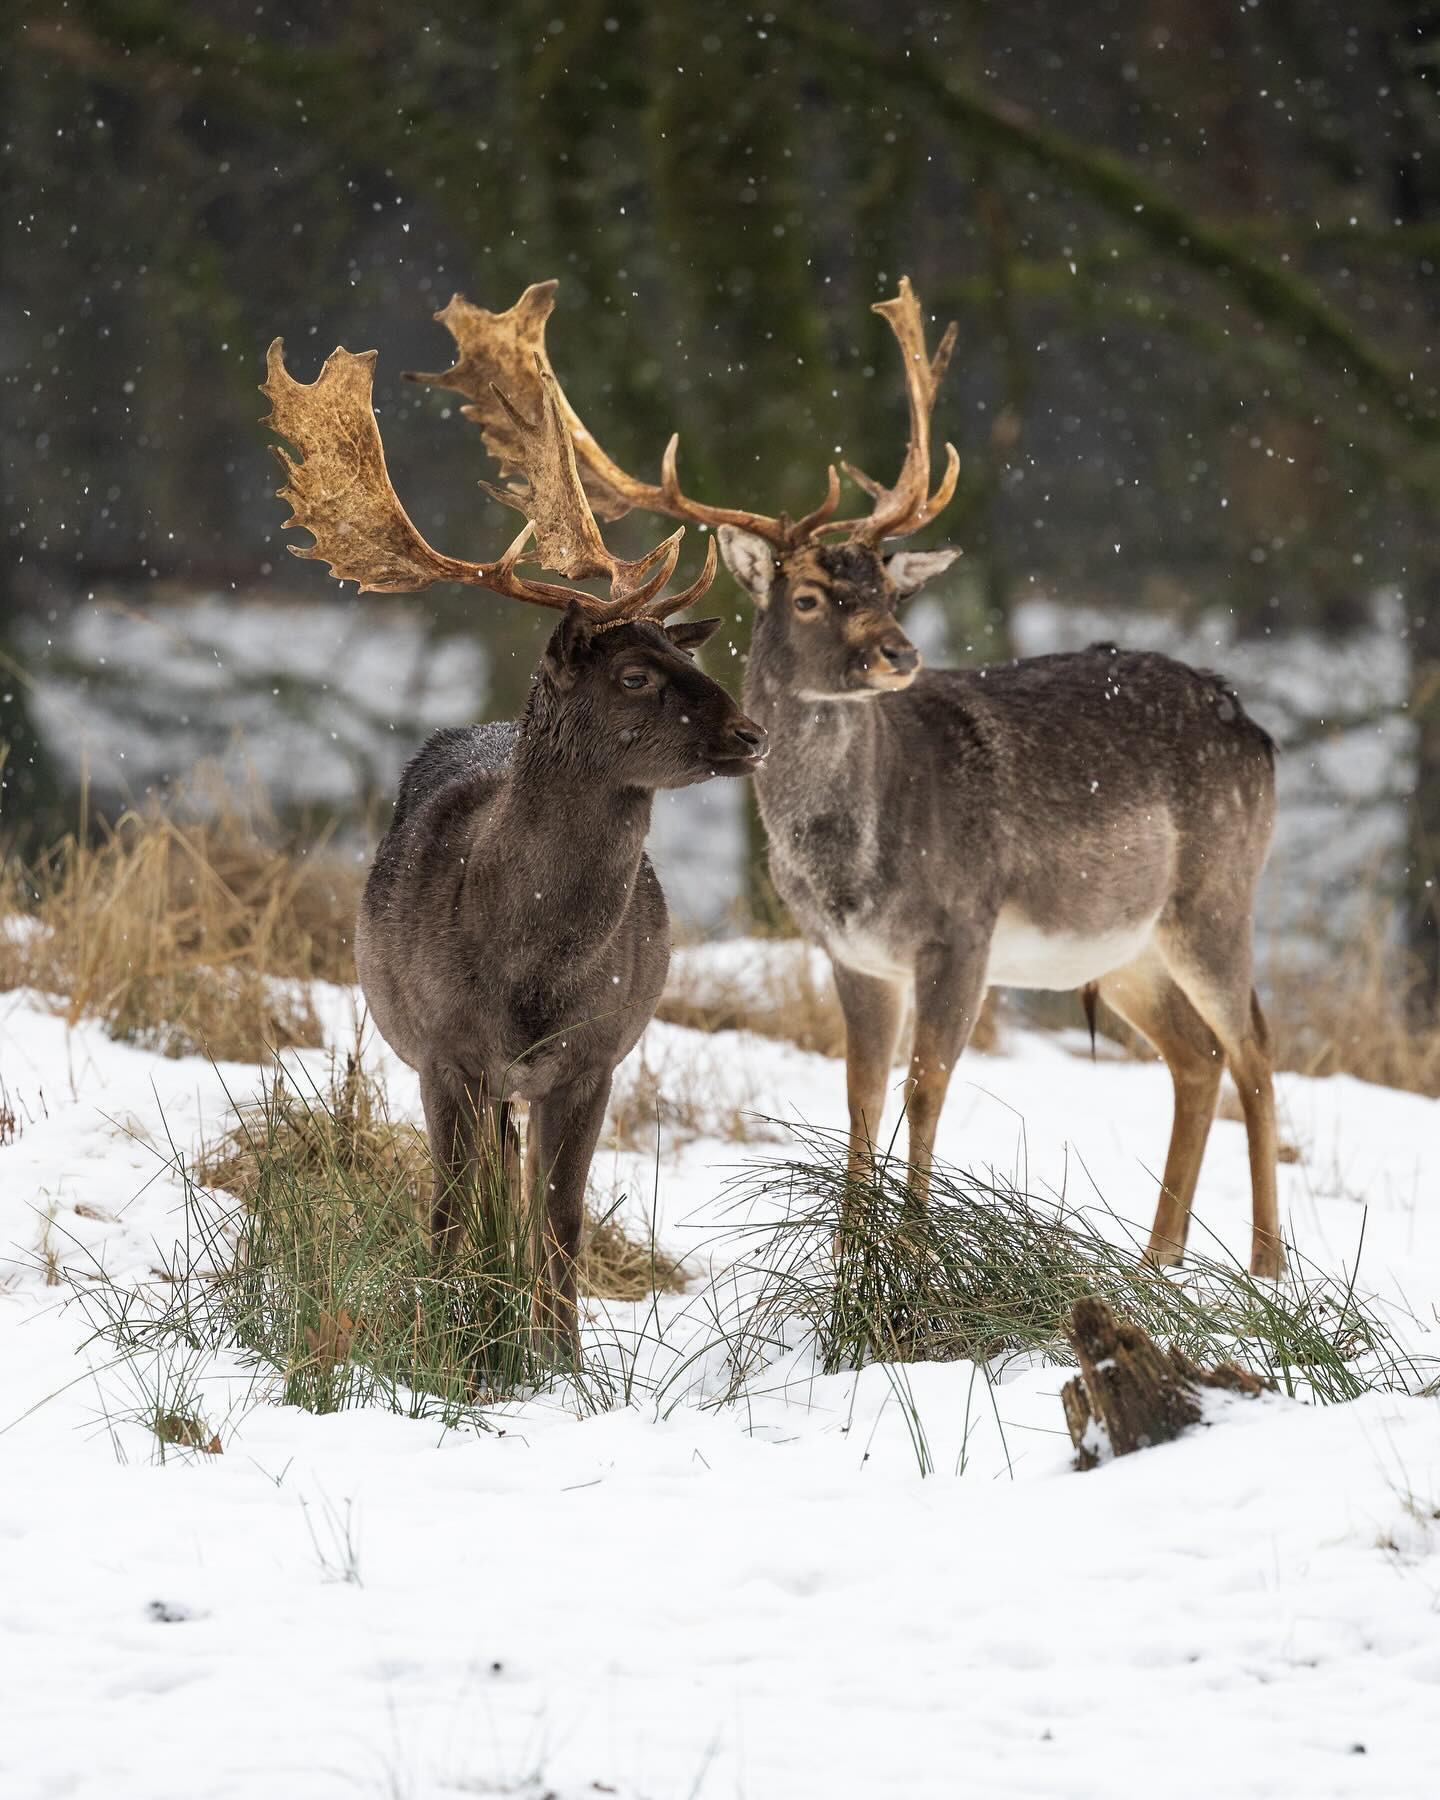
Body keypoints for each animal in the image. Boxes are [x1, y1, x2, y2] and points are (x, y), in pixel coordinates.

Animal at [261, 333, 768, 1350]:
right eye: (634, 674)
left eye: (684, 652)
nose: (751, 732)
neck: (528, 970)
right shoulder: (446, 1052)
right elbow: (452, 1211)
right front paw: (446, 1342)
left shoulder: (595, 1056)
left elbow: (562, 1217)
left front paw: (561, 1359)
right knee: (478, 1188)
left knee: (523, 1191)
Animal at [407, 277, 1284, 1281]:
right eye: (810, 596)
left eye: (891, 591)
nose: (901, 653)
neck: (855, 858)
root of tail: (1257, 730)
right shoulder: (850, 951)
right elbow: (863, 1090)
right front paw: (849, 1255)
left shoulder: (964, 924)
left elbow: (927, 1087)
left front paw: (910, 1250)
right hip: (1123, 942)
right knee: (1197, 1055)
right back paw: (1158, 1262)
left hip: (1215, 891)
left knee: (1255, 1047)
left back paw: (1265, 1265)